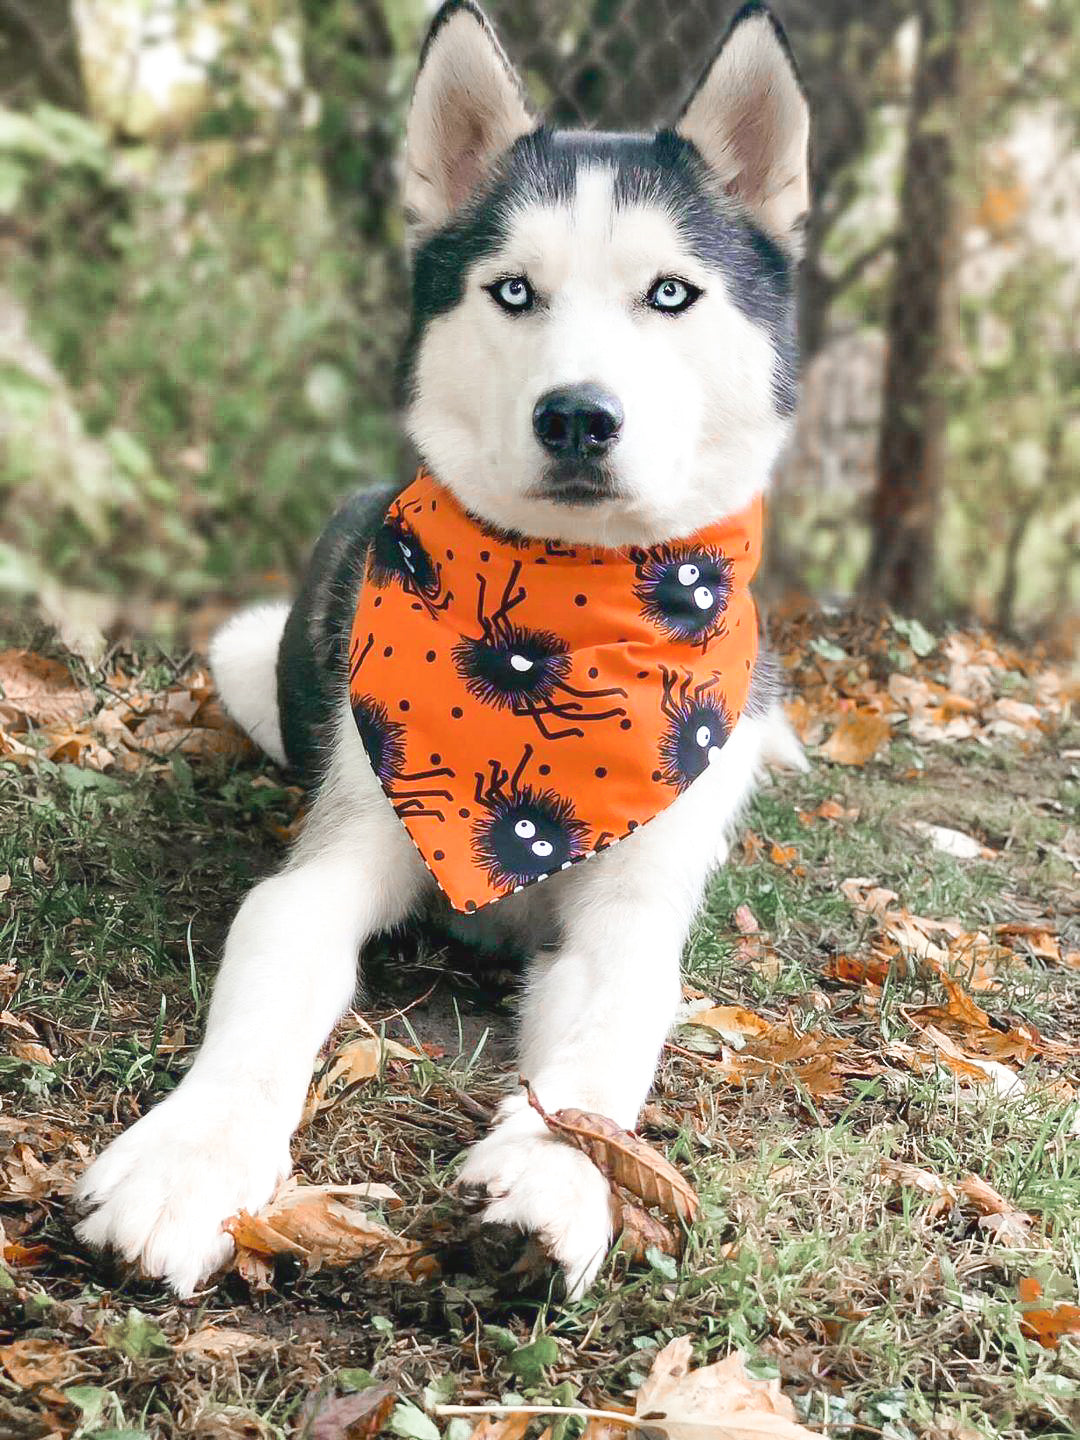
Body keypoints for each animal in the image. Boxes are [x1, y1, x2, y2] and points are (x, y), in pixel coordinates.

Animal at [74, 0, 812, 1301]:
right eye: (512, 290)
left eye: (671, 295)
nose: (577, 415)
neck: (569, 620)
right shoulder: (335, 856)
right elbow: (270, 986)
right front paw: (189, 1161)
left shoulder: (629, 918)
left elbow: (609, 1041)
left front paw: (561, 1178)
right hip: (250, 656)